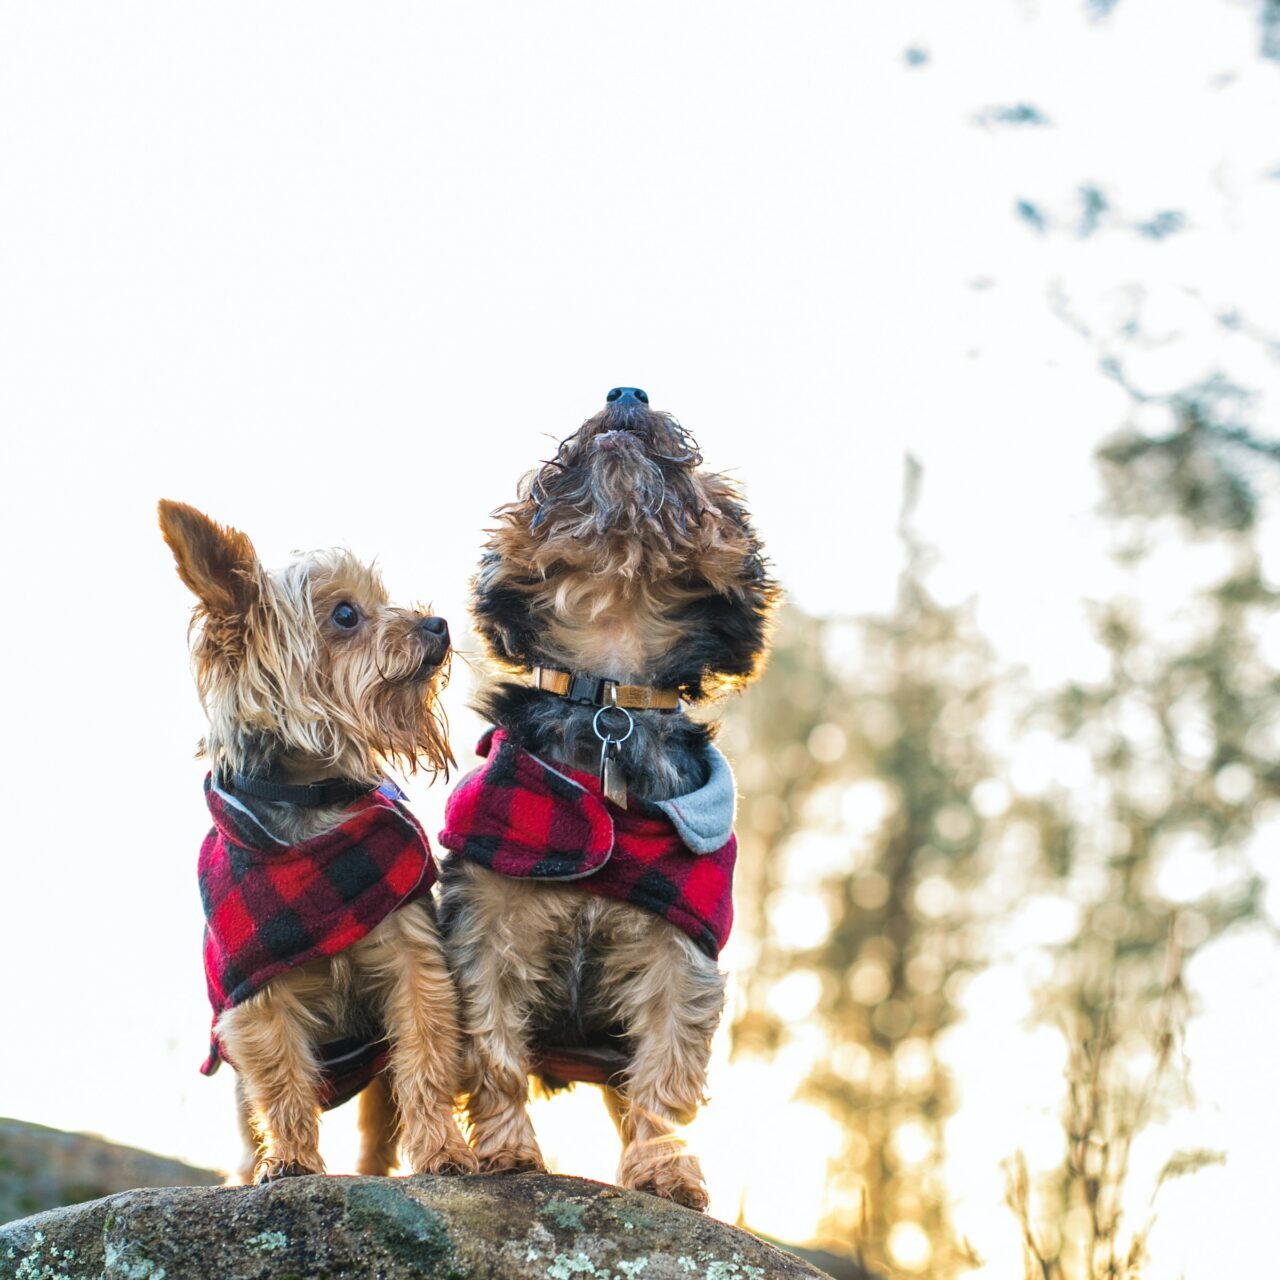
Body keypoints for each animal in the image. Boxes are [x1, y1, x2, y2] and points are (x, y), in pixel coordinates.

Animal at [158, 499, 481, 1177]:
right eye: (345, 615)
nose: (438, 624)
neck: (314, 806)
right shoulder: (254, 997)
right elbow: (280, 1080)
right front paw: (291, 1161)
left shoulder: (412, 957)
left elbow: (425, 1057)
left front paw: (443, 1148)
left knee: (380, 1122)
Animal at [440, 384, 778, 1203]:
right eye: (550, 477)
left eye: (695, 482)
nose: (627, 392)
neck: (609, 693)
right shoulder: (484, 924)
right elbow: (493, 1048)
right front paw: (507, 1152)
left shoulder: (678, 947)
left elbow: (666, 1071)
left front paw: (664, 1170)